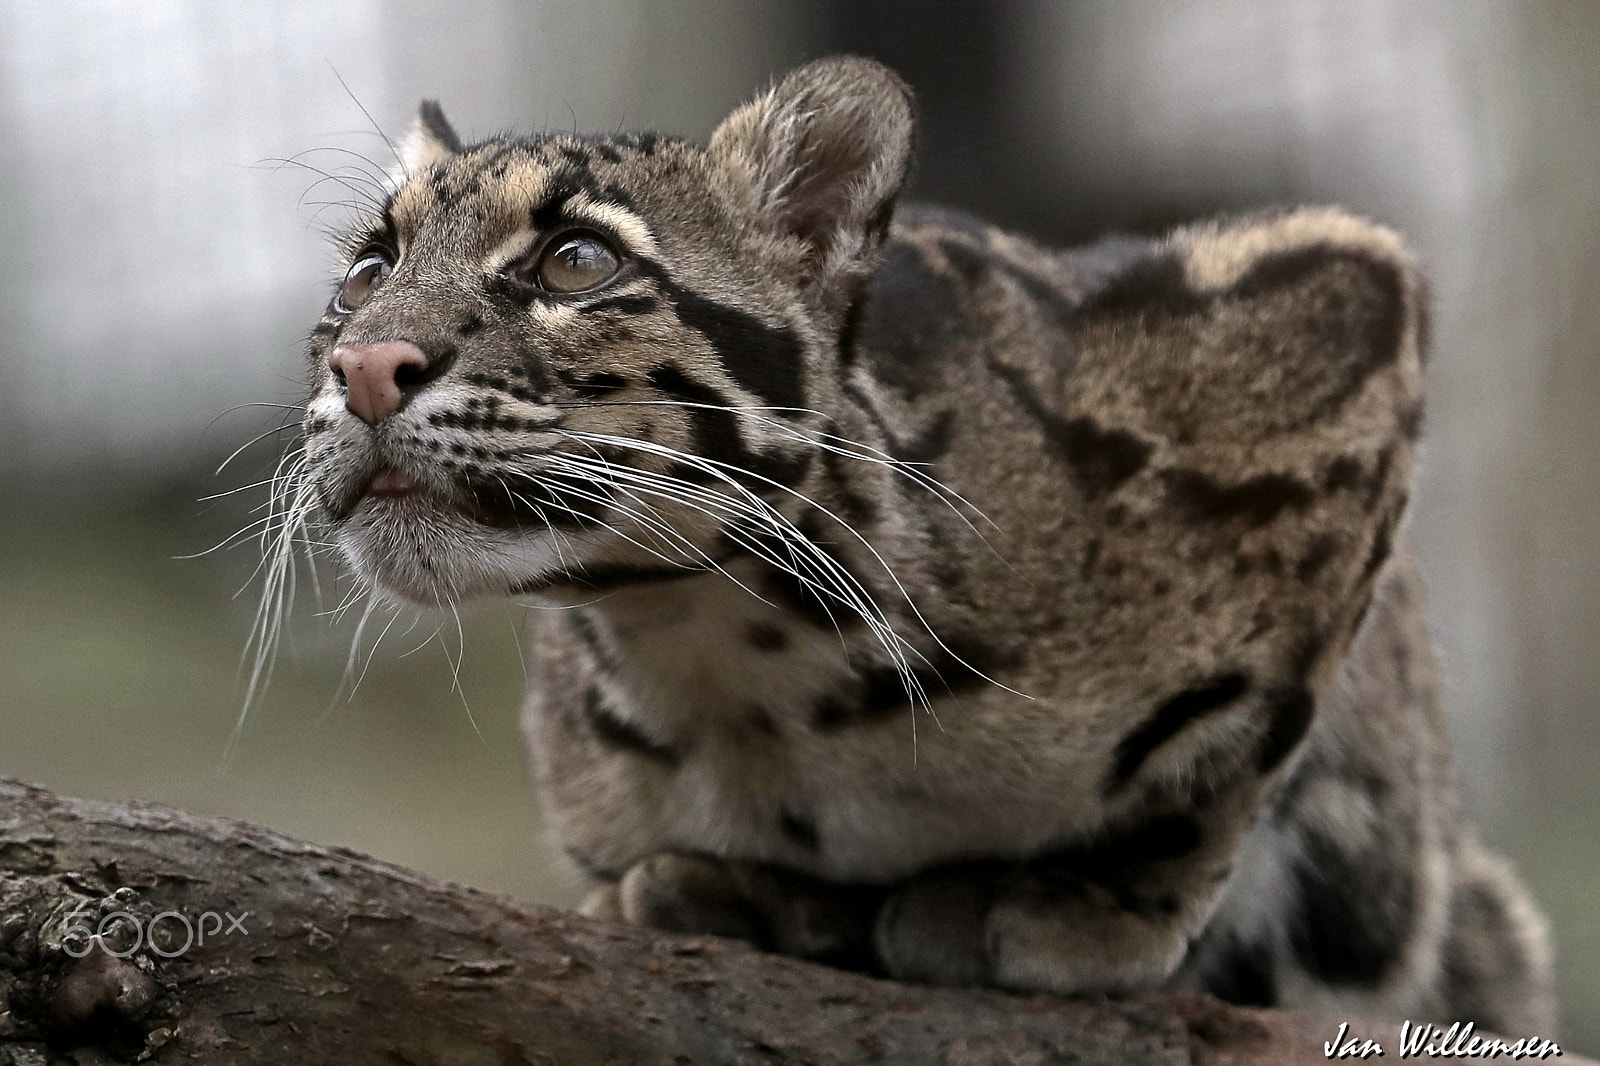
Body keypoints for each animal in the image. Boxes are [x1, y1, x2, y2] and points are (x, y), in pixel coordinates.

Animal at [288, 56, 1548, 1024]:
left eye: (577, 261)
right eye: (366, 271)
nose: (363, 366)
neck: (733, 669)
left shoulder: (1339, 292)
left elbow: (1230, 755)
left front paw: (1077, 909)